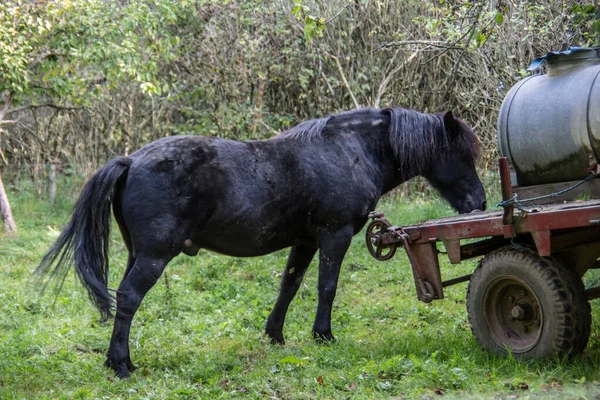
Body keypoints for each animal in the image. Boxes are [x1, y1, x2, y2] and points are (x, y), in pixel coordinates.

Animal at [36, 106, 488, 378]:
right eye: (460, 155)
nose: (479, 203)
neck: (348, 152)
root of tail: (131, 159)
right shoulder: (335, 235)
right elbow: (327, 286)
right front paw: (324, 335)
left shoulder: (305, 242)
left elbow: (289, 285)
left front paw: (276, 335)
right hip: (154, 256)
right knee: (129, 297)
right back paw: (120, 365)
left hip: (137, 254)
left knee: (123, 299)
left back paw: (122, 358)